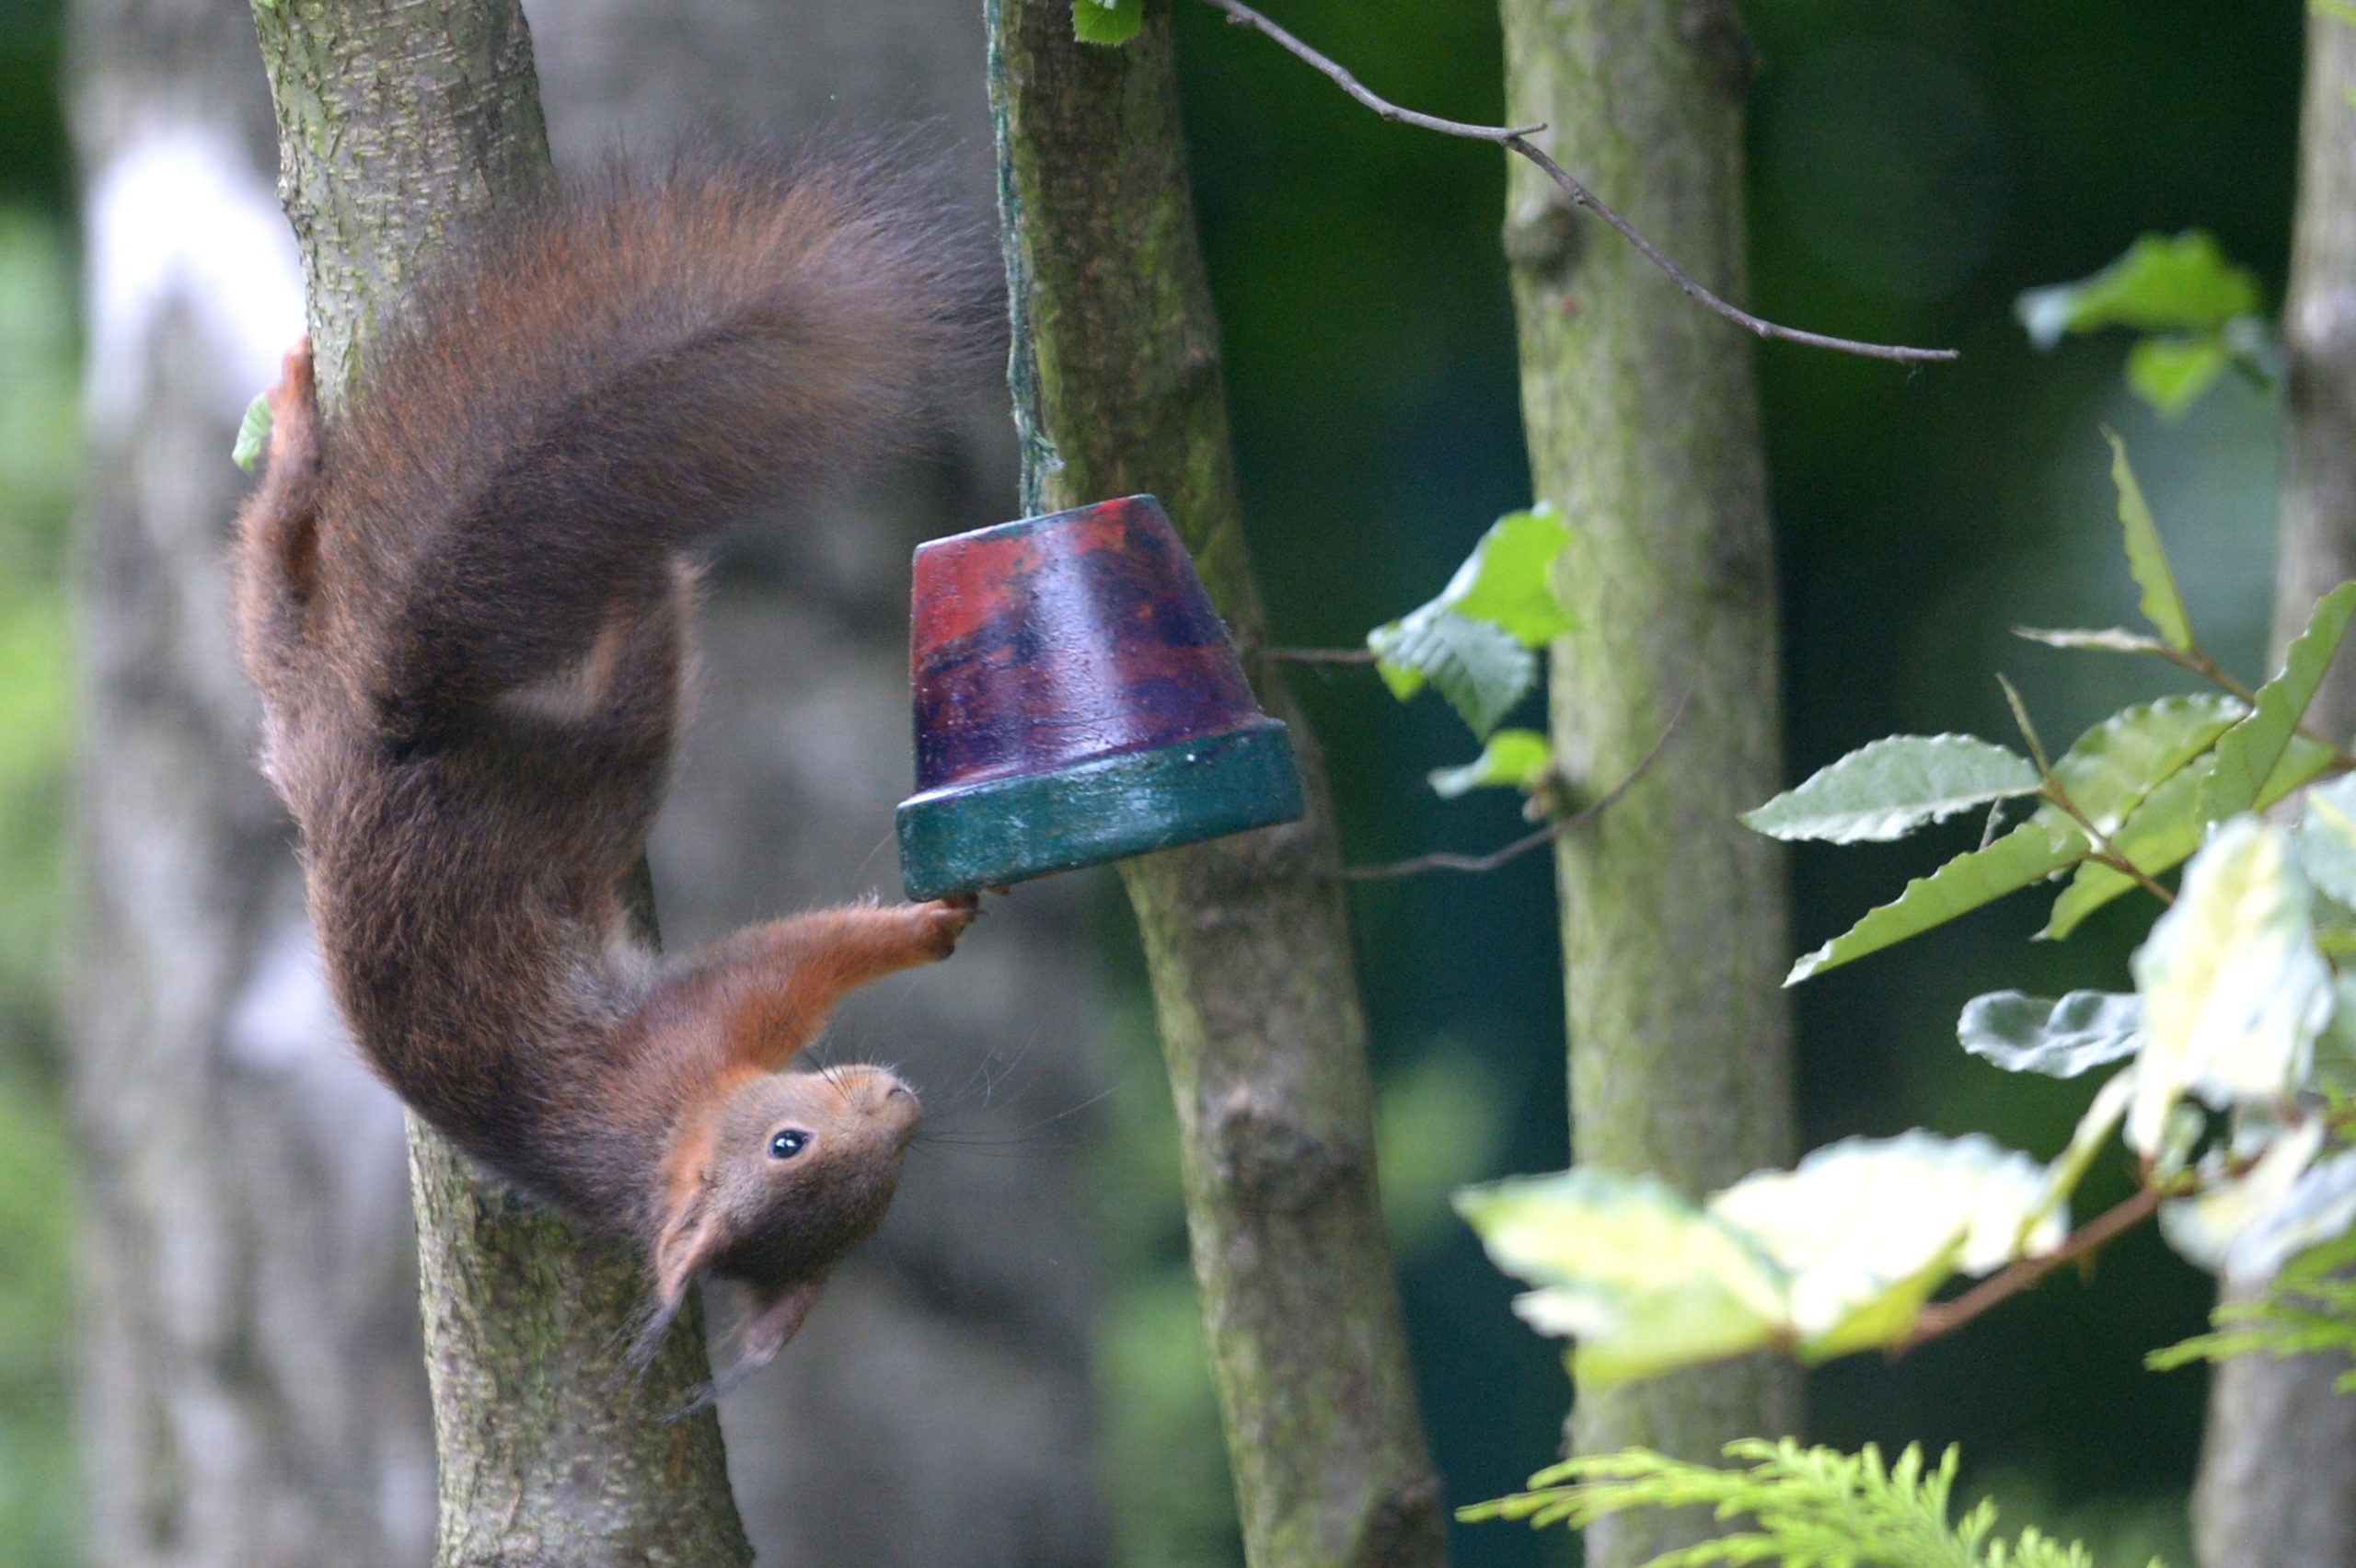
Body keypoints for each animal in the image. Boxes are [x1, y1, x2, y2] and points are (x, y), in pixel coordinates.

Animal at [229, 153, 985, 1365]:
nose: (896, 1101)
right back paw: (656, 564)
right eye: (787, 1148)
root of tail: (380, 739)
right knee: (639, 683)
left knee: (275, 560)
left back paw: (295, 433)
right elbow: (792, 956)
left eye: (884, 1197)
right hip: (585, 781)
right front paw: (924, 927)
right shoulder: (693, 1026)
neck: (655, 1144)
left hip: (291, 682)